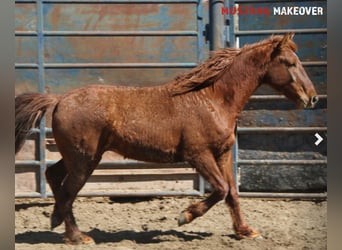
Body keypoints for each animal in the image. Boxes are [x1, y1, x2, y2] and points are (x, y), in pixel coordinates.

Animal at [14, 33, 318, 244]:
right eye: (290, 63)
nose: (312, 98)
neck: (212, 99)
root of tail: (59, 99)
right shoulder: (198, 155)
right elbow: (220, 189)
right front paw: (184, 216)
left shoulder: (222, 153)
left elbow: (232, 192)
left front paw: (246, 231)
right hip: (84, 161)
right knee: (67, 190)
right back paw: (78, 237)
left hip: (79, 157)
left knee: (53, 176)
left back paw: (56, 222)